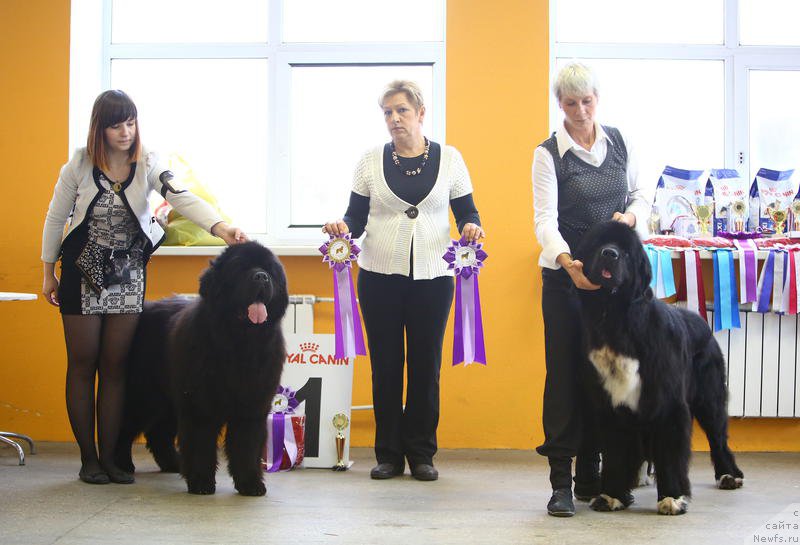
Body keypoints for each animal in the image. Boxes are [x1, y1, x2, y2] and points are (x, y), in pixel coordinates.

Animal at [112, 240, 288, 496]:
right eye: (241, 268)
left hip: (169, 399)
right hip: (144, 395)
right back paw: (121, 465)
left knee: (158, 434)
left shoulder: (251, 406)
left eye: (269, 270)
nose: (261, 277)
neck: (240, 343)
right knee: (123, 427)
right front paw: (201, 482)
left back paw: (174, 464)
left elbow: (247, 445)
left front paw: (250, 484)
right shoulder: (200, 403)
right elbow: (200, 442)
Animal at [576, 220, 744, 516]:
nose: (610, 254)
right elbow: (615, 451)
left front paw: (672, 497)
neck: (616, 320)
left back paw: (729, 475)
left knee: (718, 437)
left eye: (626, 251)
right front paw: (611, 495)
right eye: (599, 243)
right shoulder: (611, 405)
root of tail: (701, 322)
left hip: (709, 397)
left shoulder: (668, 403)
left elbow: (670, 452)